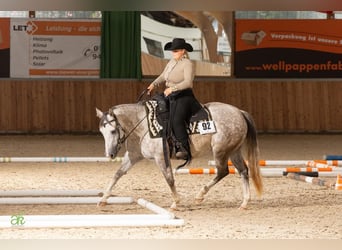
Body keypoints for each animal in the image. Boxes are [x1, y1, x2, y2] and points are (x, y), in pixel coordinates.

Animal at [95, 101, 264, 209]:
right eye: (101, 132)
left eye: (113, 131)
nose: (110, 154)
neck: (143, 125)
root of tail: (239, 112)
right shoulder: (133, 155)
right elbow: (118, 174)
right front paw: (103, 199)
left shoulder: (160, 157)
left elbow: (169, 178)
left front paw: (176, 202)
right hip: (233, 151)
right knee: (243, 171)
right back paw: (244, 202)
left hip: (220, 151)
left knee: (223, 171)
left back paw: (200, 195)